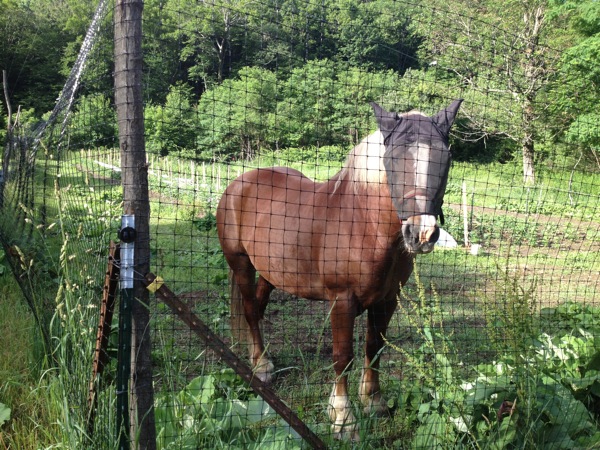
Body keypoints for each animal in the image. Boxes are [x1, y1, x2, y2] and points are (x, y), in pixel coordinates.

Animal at [217, 99, 464, 440]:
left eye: (446, 157)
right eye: (394, 157)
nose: (422, 233)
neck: (364, 225)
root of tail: (238, 184)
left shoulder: (387, 300)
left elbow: (374, 347)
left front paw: (374, 402)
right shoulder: (342, 300)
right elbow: (342, 356)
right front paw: (343, 418)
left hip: (269, 272)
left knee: (259, 308)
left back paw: (260, 359)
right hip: (240, 262)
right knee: (251, 311)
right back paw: (262, 367)